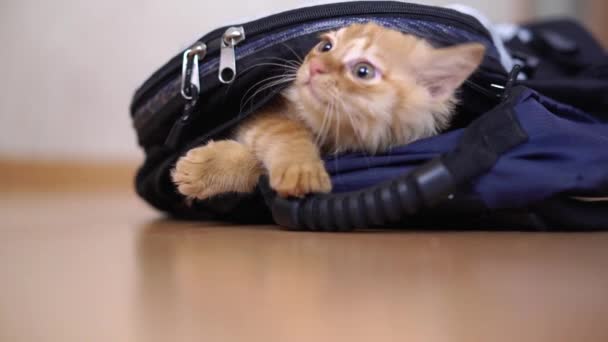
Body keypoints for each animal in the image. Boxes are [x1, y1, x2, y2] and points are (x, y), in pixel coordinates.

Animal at [170, 22, 484, 199]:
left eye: (363, 71)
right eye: (325, 47)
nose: (316, 67)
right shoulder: (267, 114)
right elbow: (285, 132)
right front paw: (302, 168)